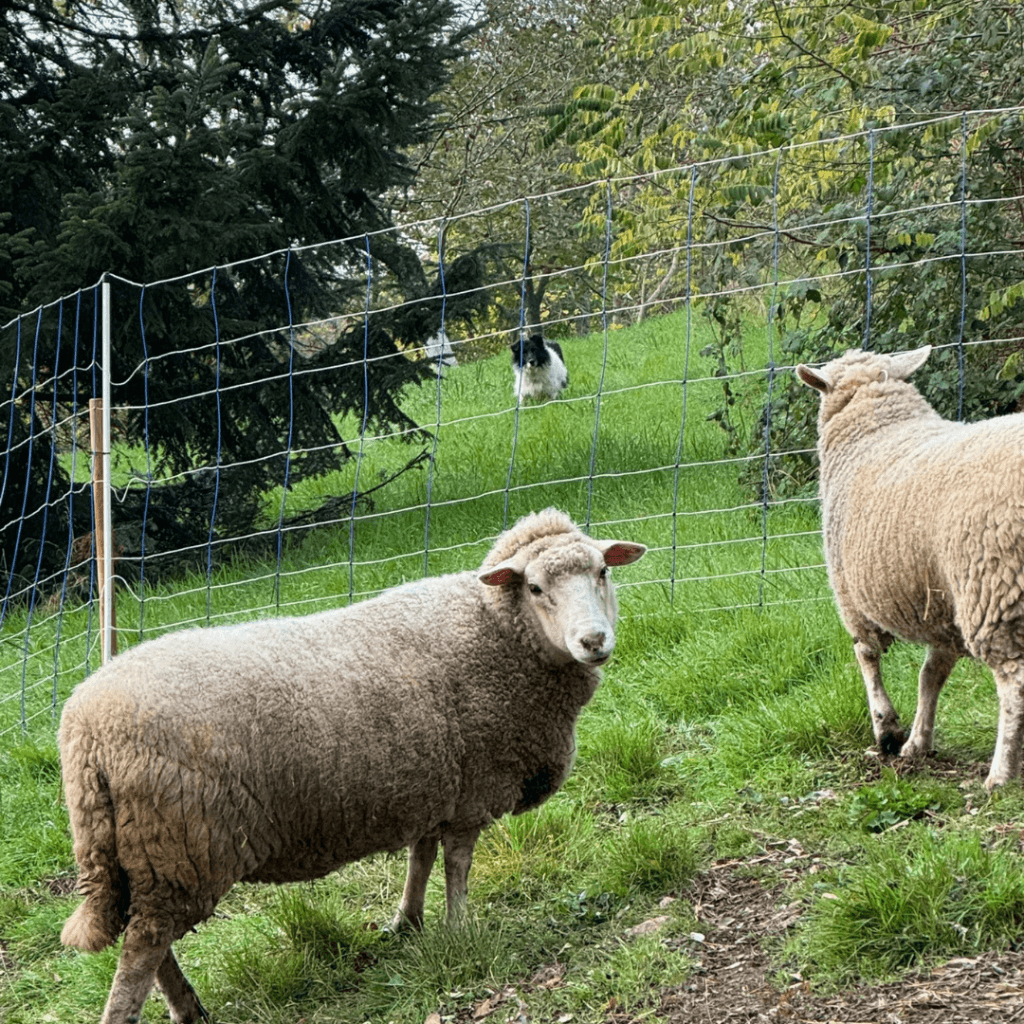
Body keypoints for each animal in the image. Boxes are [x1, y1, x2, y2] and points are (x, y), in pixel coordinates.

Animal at [58, 508, 646, 1024]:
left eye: (603, 571)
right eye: (536, 589)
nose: (593, 640)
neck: (494, 631)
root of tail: (83, 731)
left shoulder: (432, 782)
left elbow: (420, 857)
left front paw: (407, 922)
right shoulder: (472, 791)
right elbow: (456, 867)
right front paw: (460, 931)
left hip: (145, 855)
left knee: (147, 941)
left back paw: (189, 1005)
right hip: (180, 846)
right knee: (143, 950)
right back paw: (166, 1011)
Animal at [796, 345, 1024, 790]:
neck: (877, 426)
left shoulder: (850, 596)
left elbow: (866, 655)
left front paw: (886, 729)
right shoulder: (941, 604)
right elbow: (930, 675)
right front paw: (918, 741)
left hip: (993, 590)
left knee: (1014, 686)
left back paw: (1000, 775)